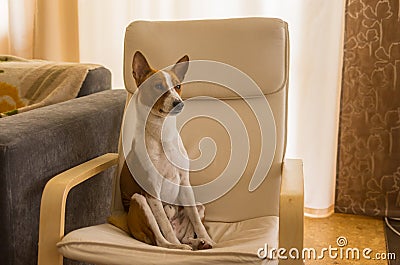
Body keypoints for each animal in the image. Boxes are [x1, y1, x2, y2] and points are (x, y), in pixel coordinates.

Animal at [118, 51, 214, 250]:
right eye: (158, 86)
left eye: (177, 86)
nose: (179, 103)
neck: (162, 135)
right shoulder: (152, 192)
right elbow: (164, 225)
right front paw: (178, 247)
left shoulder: (185, 184)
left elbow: (196, 221)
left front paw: (206, 238)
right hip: (139, 200)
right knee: (161, 240)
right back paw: (178, 246)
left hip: (199, 204)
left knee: (186, 234)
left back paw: (198, 242)